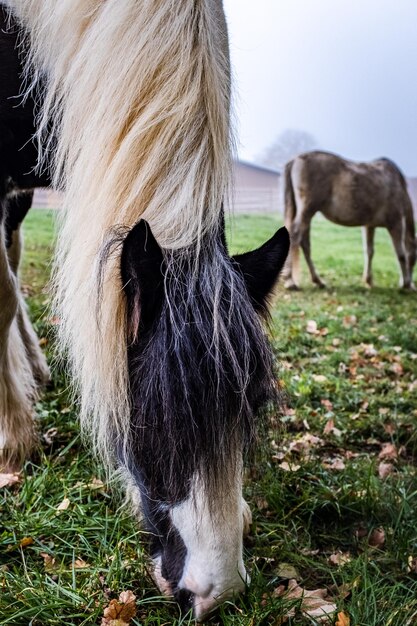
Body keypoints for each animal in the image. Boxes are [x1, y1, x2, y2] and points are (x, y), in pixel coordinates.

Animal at [282, 150, 414, 288]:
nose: (413, 285)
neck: (399, 187)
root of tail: (296, 159)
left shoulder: (369, 226)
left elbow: (369, 251)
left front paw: (368, 280)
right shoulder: (396, 223)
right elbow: (401, 254)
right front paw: (406, 283)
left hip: (306, 213)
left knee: (305, 243)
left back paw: (317, 280)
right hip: (307, 210)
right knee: (296, 236)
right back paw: (290, 280)